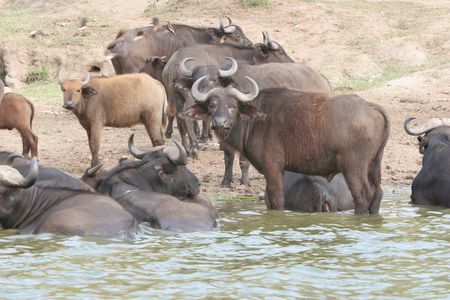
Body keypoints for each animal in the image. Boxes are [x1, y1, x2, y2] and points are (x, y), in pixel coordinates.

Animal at [186, 79, 390, 216]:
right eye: (212, 105)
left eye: (233, 106)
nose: (219, 123)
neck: (256, 121)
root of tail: (369, 106)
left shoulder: (273, 167)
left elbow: (276, 199)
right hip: (374, 164)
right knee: (377, 193)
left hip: (354, 167)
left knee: (363, 195)